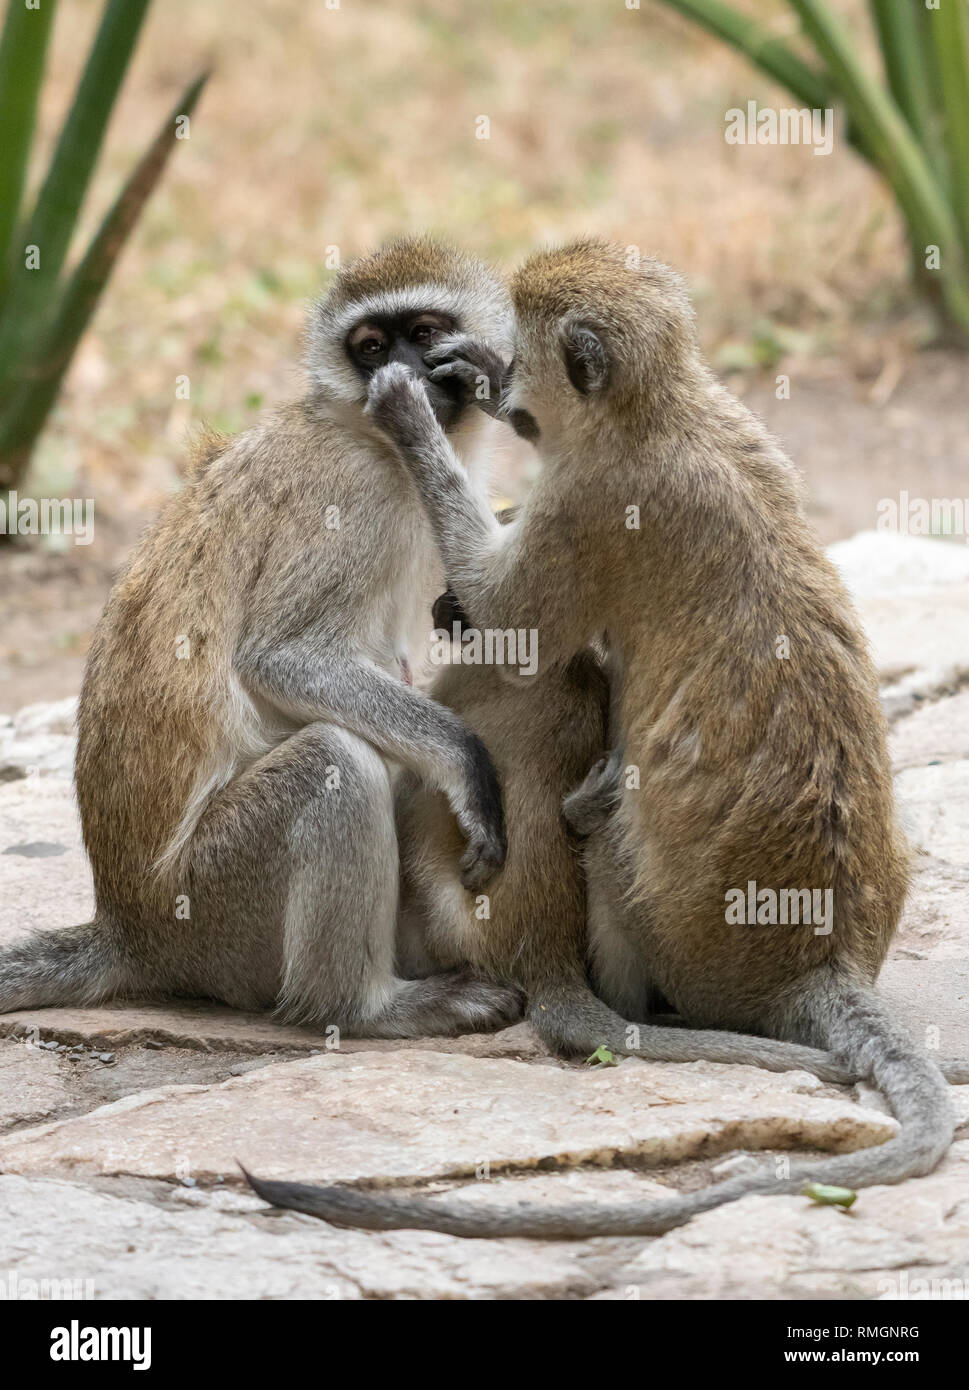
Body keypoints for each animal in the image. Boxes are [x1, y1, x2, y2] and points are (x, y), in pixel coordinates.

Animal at [0, 239, 522, 1039]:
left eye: (424, 333)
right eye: (371, 348)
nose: (400, 373)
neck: (369, 436)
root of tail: (131, 930)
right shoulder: (348, 495)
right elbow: (282, 659)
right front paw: (467, 762)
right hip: (215, 905)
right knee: (334, 759)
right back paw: (365, 1006)